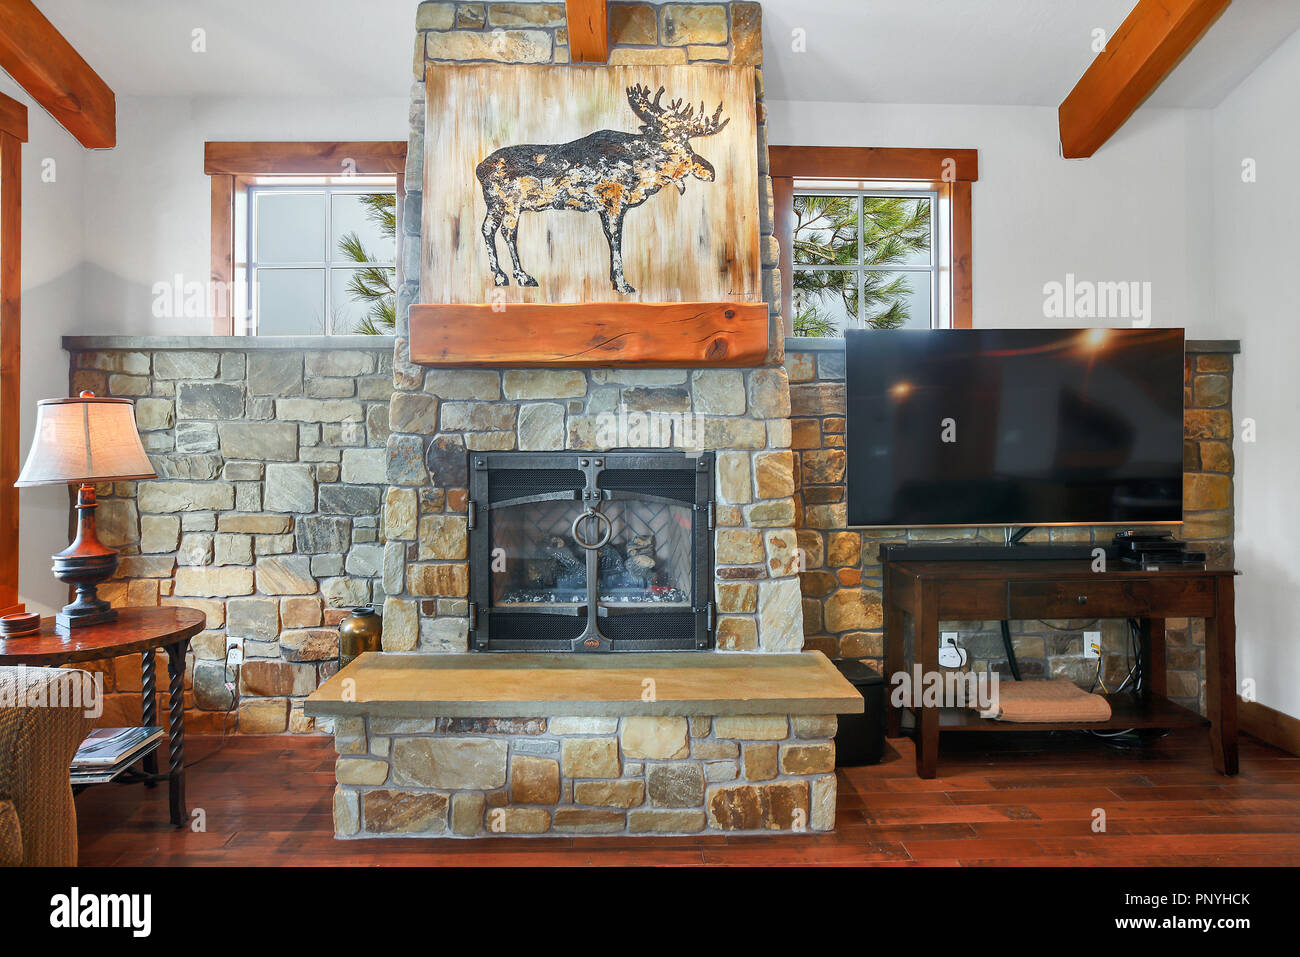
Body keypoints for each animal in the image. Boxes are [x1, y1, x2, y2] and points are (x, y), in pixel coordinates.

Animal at [475, 85, 728, 295]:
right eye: (667, 147)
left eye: (688, 146)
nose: (710, 171)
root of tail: (479, 169)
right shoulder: (614, 202)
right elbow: (616, 240)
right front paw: (624, 285)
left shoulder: (603, 208)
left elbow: (608, 239)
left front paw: (613, 281)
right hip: (511, 203)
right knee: (506, 232)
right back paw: (521, 277)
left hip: (495, 204)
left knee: (487, 228)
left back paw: (500, 276)